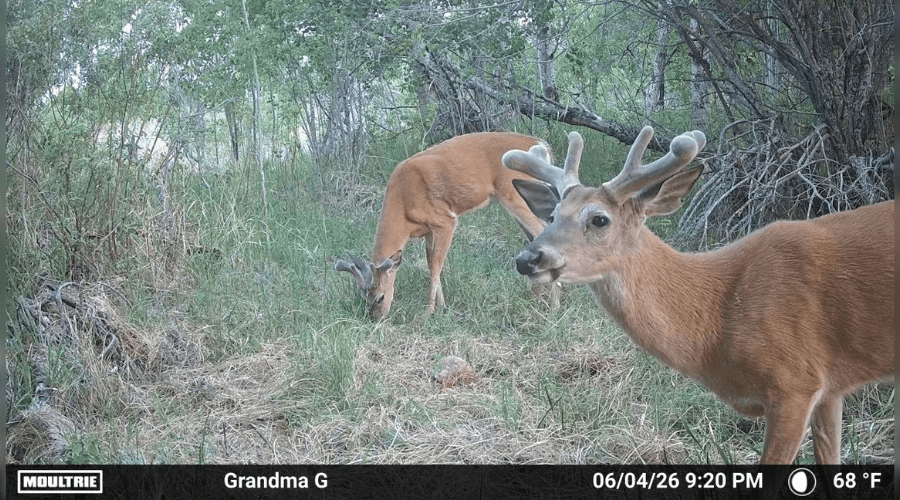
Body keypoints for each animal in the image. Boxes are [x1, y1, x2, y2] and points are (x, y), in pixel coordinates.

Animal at [335, 131, 559, 320]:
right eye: (364, 298)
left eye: (380, 297)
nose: (376, 318)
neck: (403, 205)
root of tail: (541, 144)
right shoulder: (427, 231)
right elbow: (431, 263)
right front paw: (443, 307)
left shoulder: (445, 220)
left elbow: (436, 266)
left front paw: (430, 311)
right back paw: (537, 299)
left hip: (514, 195)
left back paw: (555, 305)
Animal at [503, 126, 894, 464]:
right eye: (552, 215)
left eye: (600, 219)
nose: (527, 258)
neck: (720, 313)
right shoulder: (830, 389)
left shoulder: (795, 382)